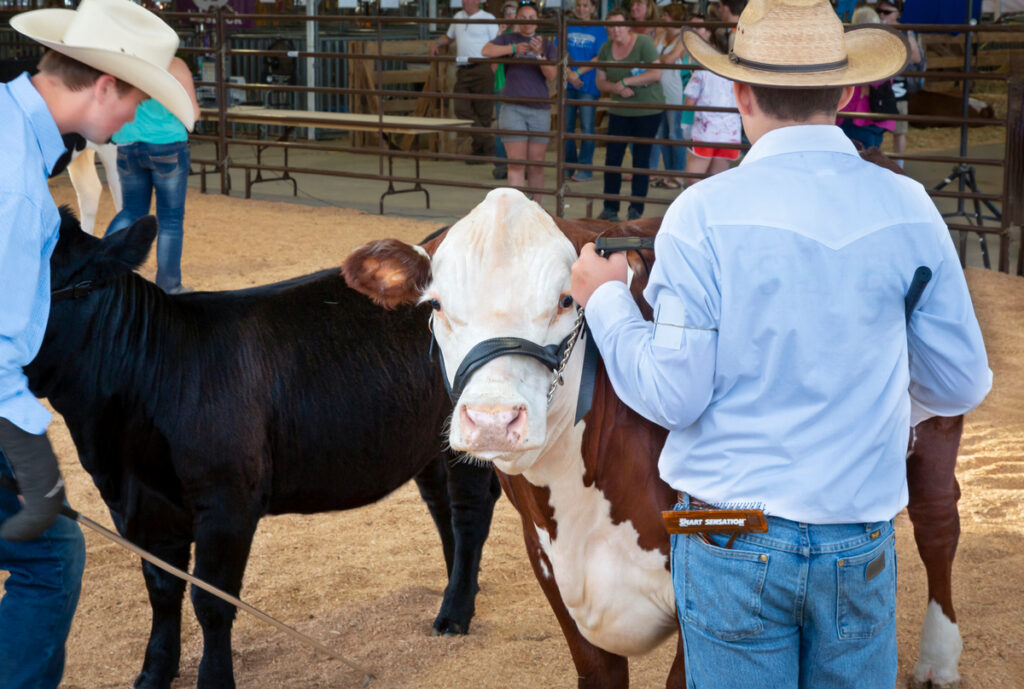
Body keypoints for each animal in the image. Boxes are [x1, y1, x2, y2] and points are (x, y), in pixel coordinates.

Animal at [24, 208, 502, 689]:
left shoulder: (227, 502)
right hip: (426, 441)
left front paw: (214, 679)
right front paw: (154, 673)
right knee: (442, 505)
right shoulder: (137, 507)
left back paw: (454, 613)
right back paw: (458, 585)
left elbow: (212, 601)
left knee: (469, 511)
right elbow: (161, 590)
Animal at [342, 188, 968, 689]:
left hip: (941, 417)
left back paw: (939, 659)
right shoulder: (557, 579)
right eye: (437, 305)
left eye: (566, 301)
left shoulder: (710, 590)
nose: (494, 418)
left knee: (939, 524)